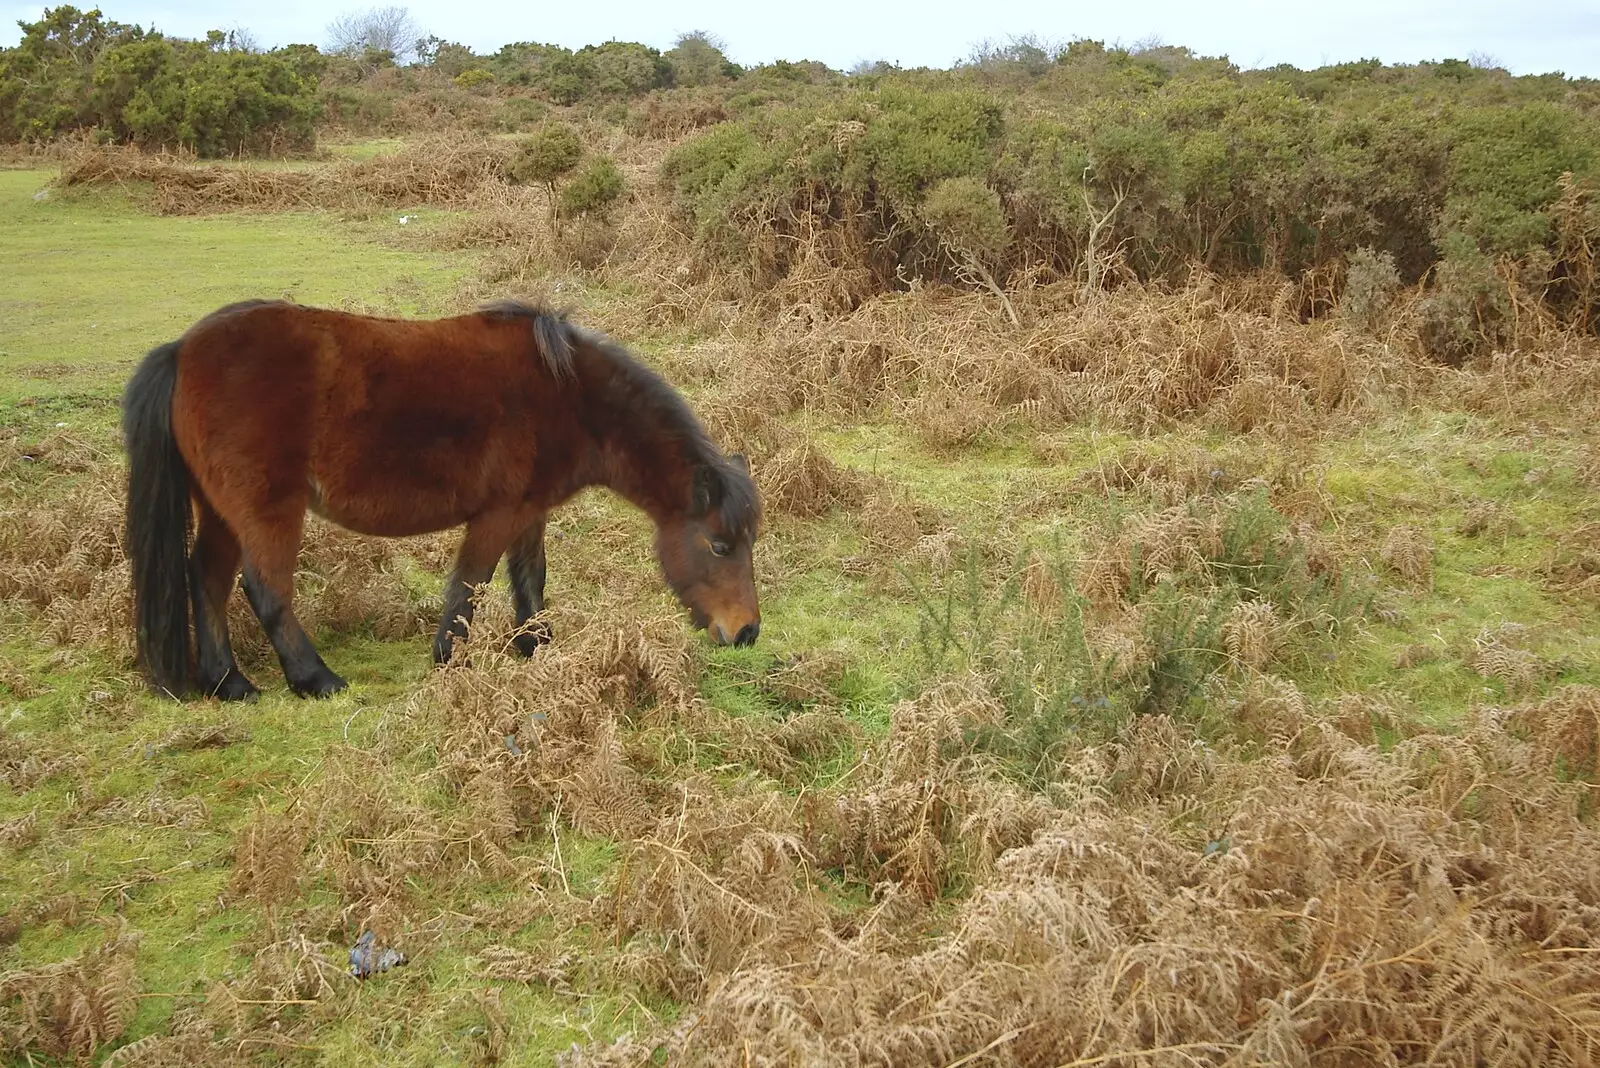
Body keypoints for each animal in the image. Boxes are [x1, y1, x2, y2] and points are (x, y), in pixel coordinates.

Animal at [124, 300, 761, 700]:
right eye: (719, 545)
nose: (746, 634)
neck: (568, 393)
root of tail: (182, 350)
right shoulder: (497, 515)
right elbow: (470, 586)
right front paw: (449, 660)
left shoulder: (529, 512)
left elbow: (530, 581)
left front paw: (535, 647)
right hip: (267, 510)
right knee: (265, 589)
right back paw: (315, 679)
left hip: (220, 512)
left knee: (206, 579)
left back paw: (228, 684)